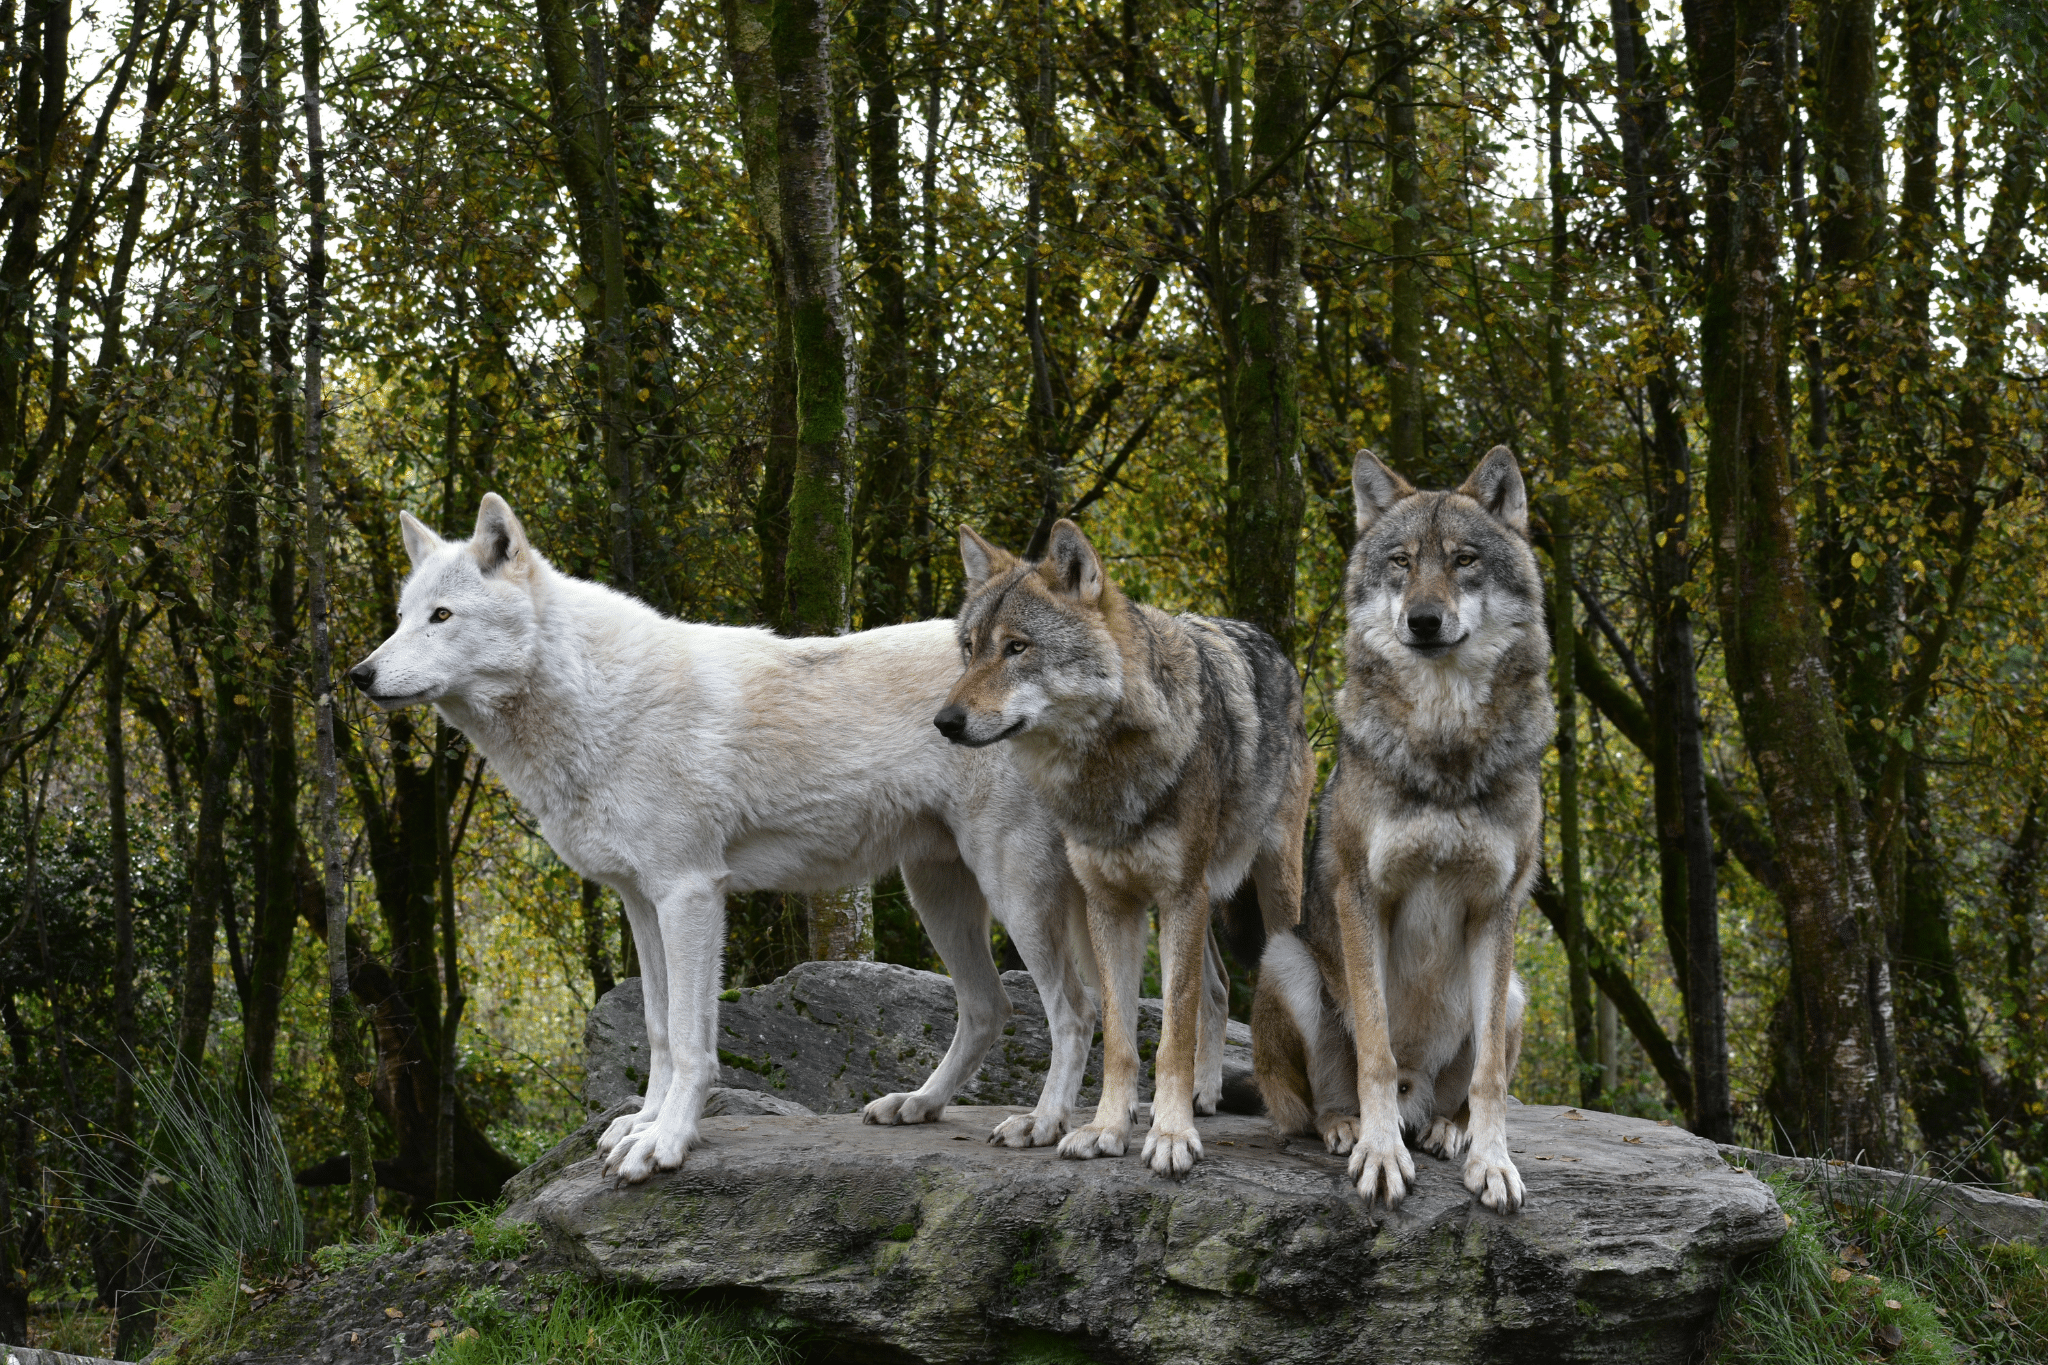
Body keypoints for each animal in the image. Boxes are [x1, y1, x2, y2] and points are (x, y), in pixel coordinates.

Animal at [347, 495, 1098, 1183]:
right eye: (401, 617)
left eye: (443, 616)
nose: (359, 675)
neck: (599, 701)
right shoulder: (641, 902)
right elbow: (656, 1028)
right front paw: (643, 1122)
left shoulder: (691, 894)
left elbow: (689, 1038)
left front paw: (666, 1142)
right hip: (936, 891)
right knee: (989, 1006)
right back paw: (919, 1102)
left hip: (1012, 890)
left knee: (1074, 1008)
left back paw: (1043, 1122)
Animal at [935, 519, 1313, 1176]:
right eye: (970, 648)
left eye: (1017, 648)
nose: (945, 721)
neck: (1107, 771)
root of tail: (1272, 646)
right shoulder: (1110, 902)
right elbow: (1118, 1035)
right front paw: (1109, 1127)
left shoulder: (1179, 895)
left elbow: (1172, 1033)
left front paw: (1171, 1136)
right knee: (1218, 987)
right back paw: (1202, 1094)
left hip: (1267, 889)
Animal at [1252, 446, 1550, 1214]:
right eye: (1401, 562)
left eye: (1464, 560)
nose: (1423, 620)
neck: (1443, 745)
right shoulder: (1364, 895)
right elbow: (1377, 1053)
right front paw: (1380, 1154)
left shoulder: (1496, 907)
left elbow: (1490, 1078)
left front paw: (1493, 1163)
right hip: (1287, 959)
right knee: (1313, 1102)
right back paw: (1346, 1127)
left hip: (1512, 993)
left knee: (1460, 1089)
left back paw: (1447, 1130)